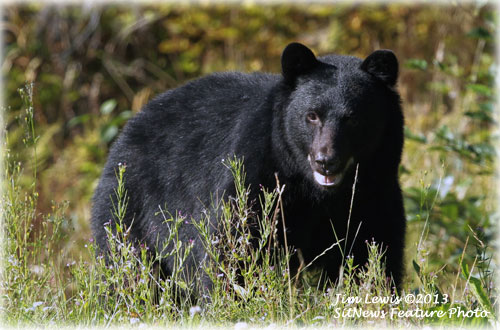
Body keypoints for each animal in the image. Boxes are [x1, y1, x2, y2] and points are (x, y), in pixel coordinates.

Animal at [91, 43, 406, 294]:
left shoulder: (374, 190)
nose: (326, 160)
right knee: (127, 265)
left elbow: (374, 249)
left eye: (354, 118)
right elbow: (234, 244)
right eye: (312, 115)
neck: (319, 194)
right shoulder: (256, 175)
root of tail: (127, 129)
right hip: (133, 209)